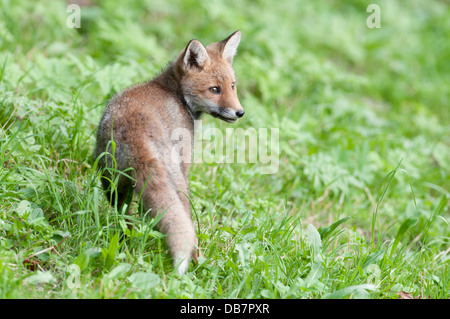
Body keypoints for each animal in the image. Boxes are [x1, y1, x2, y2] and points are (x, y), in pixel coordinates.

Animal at [94, 31, 243, 276]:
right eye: (214, 89)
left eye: (232, 86)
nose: (240, 112)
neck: (175, 94)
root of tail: (136, 135)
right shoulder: (185, 164)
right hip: (179, 185)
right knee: (188, 229)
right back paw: (198, 264)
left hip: (113, 182)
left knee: (125, 216)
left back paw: (127, 240)